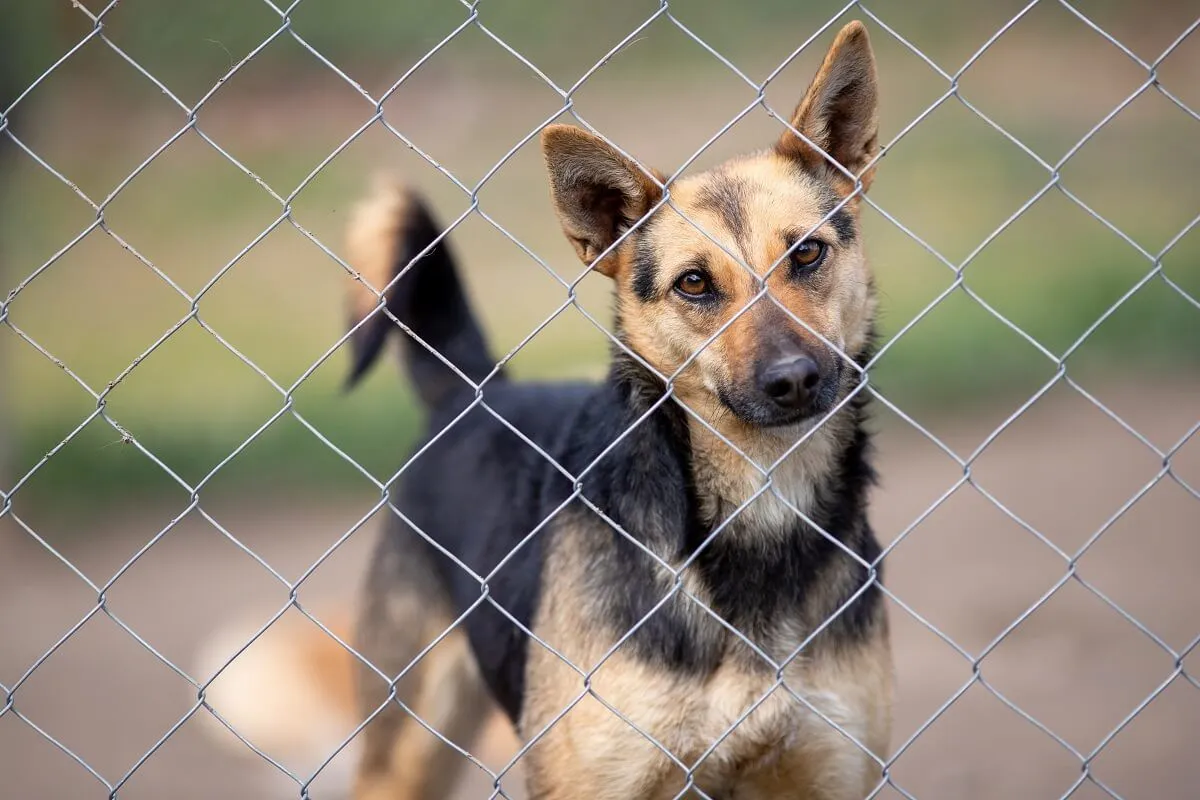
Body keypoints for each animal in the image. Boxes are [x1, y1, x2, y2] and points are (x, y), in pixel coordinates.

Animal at [199, 18, 892, 800]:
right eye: (693, 284)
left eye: (807, 254)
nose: (795, 380)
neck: (760, 510)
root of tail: (475, 389)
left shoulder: (829, 773)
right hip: (407, 745)